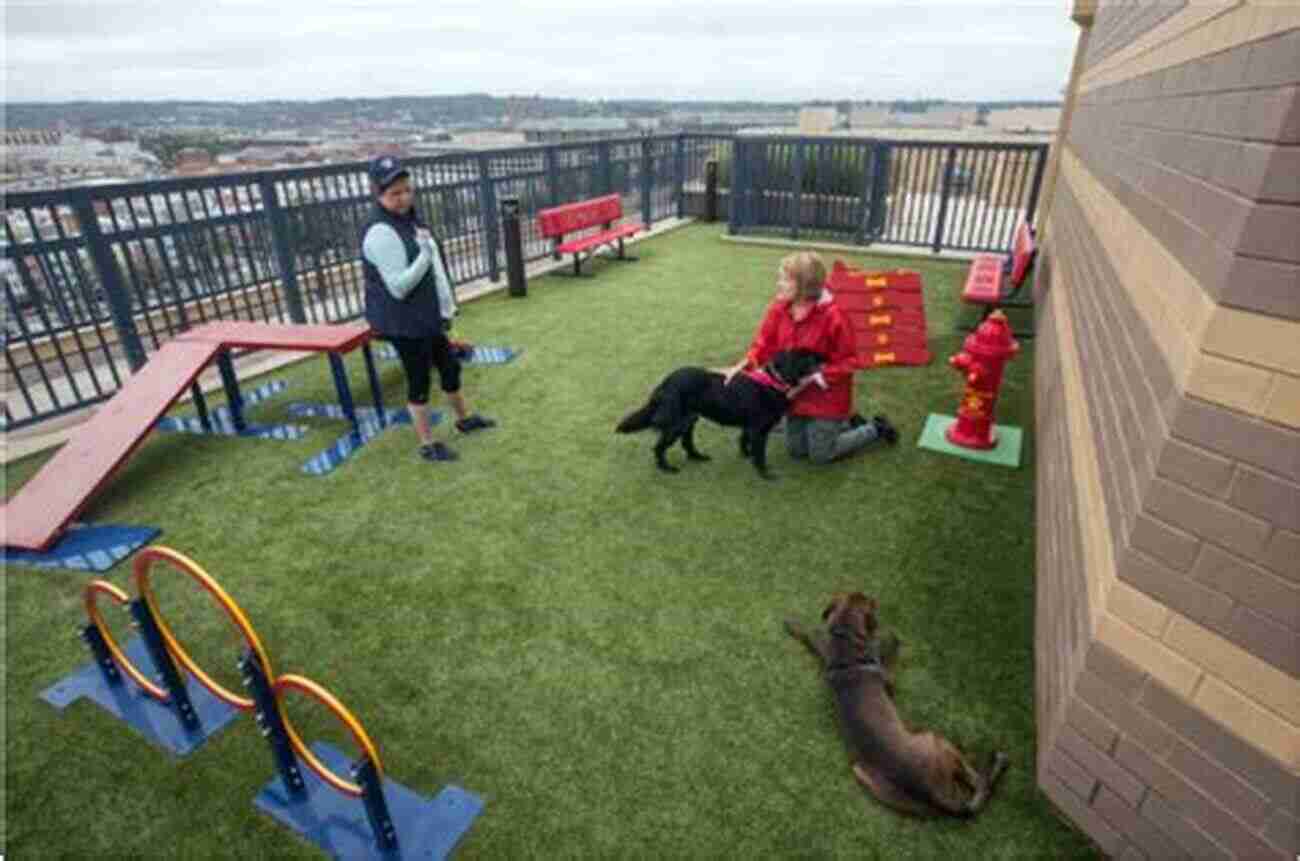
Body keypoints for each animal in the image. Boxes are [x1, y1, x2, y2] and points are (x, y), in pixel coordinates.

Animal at [616, 348, 821, 478]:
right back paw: (666, 468)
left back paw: (697, 457)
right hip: (677, 424)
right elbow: (760, 455)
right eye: (806, 357)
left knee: (686, 443)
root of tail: (665, 382)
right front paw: (764, 473)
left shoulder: (749, 426)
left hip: (689, 419)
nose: (823, 357)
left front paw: (746, 455)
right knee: (659, 447)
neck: (773, 381)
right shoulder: (758, 429)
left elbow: (744, 440)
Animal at [780, 593, 1003, 821]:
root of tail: (936, 796)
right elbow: (888, 651)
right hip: (936, 739)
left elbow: (811, 634)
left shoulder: (825, 648)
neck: (846, 642)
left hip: (862, 774)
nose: (874, 598)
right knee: (978, 784)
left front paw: (793, 624)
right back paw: (995, 761)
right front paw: (890, 639)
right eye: (870, 602)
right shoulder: (887, 675)